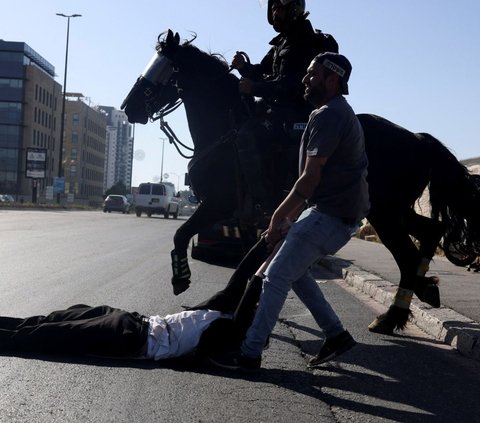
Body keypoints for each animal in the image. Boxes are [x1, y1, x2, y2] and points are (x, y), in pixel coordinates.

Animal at [121, 30, 480, 334]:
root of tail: (417, 138)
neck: (227, 130)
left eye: (162, 68)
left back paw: (394, 314)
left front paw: (183, 278)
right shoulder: (256, 212)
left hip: (383, 212)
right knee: (431, 230)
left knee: (407, 255)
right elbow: (252, 249)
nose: (128, 107)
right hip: (394, 209)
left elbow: (183, 233)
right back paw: (421, 291)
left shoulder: (221, 202)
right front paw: (227, 296)